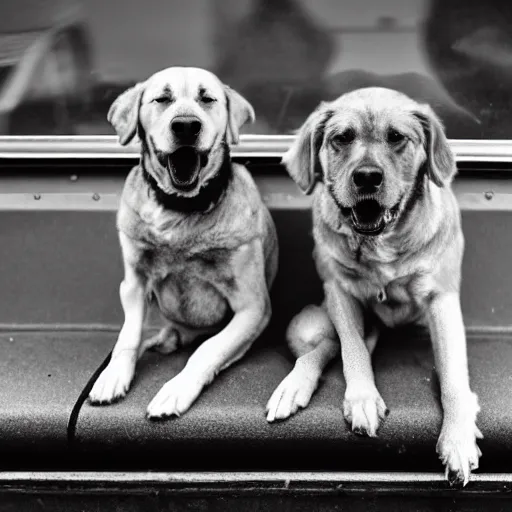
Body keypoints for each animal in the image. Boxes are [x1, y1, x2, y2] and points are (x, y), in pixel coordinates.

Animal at [89, 67, 280, 420]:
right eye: (162, 99)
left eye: (207, 98)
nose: (187, 126)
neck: (181, 209)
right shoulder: (133, 284)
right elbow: (128, 335)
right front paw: (114, 375)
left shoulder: (253, 306)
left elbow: (207, 349)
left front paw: (176, 389)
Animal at [266, 88, 482, 488]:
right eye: (342, 138)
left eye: (397, 137)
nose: (367, 177)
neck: (381, 241)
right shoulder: (339, 292)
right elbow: (351, 351)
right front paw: (362, 398)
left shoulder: (442, 300)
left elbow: (453, 376)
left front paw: (458, 437)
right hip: (309, 324)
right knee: (326, 347)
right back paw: (295, 384)